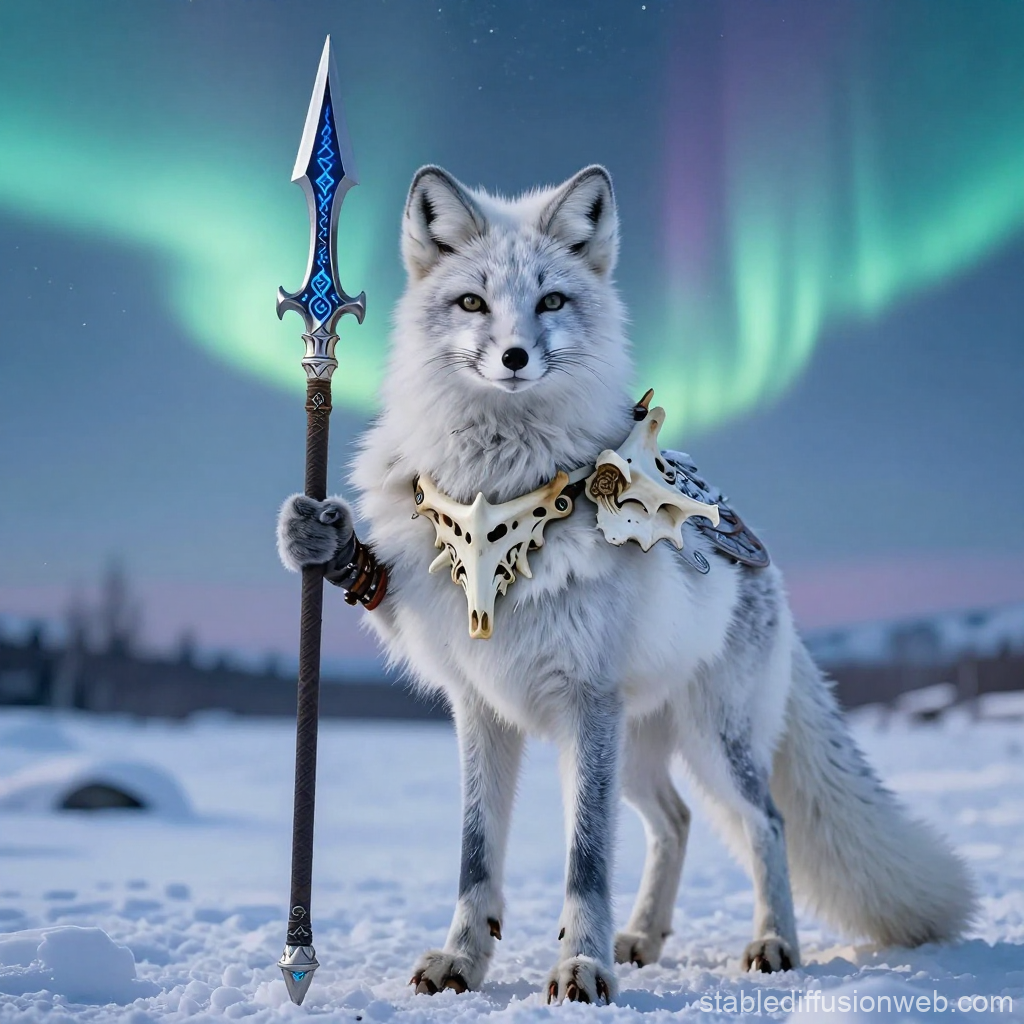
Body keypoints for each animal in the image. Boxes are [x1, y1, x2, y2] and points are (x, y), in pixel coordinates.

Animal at [276, 164, 976, 1004]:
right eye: (473, 303)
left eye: (551, 301)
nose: (514, 357)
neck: (497, 495)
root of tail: (764, 562)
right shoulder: (481, 705)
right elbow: (477, 857)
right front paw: (464, 961)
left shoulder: (589, 701)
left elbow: (586, 860)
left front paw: (583, 966)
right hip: (635, 755)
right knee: (674, 822)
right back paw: (643, 935)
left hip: (702, 745)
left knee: (765, 821)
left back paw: (771, 941)